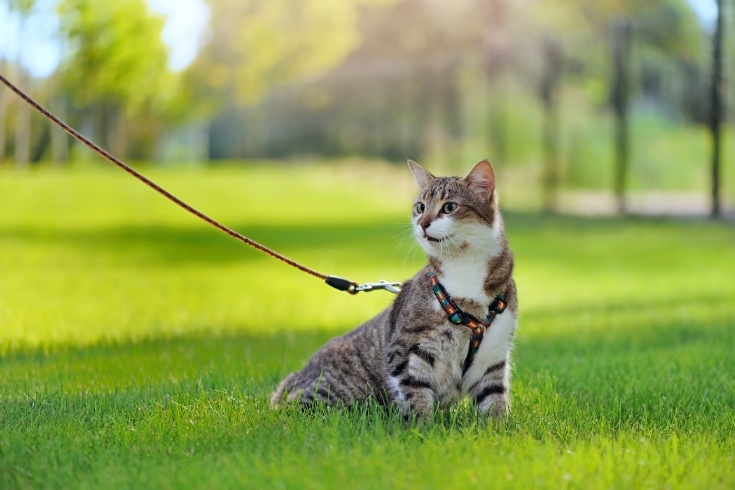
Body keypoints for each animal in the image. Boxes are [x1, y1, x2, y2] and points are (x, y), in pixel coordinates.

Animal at [270, 159, 516, 420]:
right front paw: (422, 427)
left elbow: (494, 398)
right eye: (420, 207)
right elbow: (415, 392)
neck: (464, 268)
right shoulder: (406, 348)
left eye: (449, 207)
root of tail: (294, 379)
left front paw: (497, 426)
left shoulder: (493, 356)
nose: (423, 223)